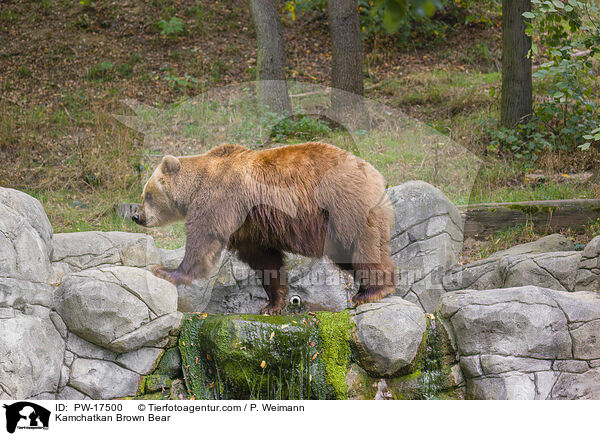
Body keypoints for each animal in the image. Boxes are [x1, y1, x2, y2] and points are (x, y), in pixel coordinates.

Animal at [136, 142, 398, 314]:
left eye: (147, 194)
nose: (136, 215)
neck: (195, 187)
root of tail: (376, 174)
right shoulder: (249, 227)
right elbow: (264, 260)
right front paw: (271, 304)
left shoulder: (221, 199)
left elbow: (203, 238)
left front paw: (165, 271)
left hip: (345, 205)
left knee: (363, 246)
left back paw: (371, 291)